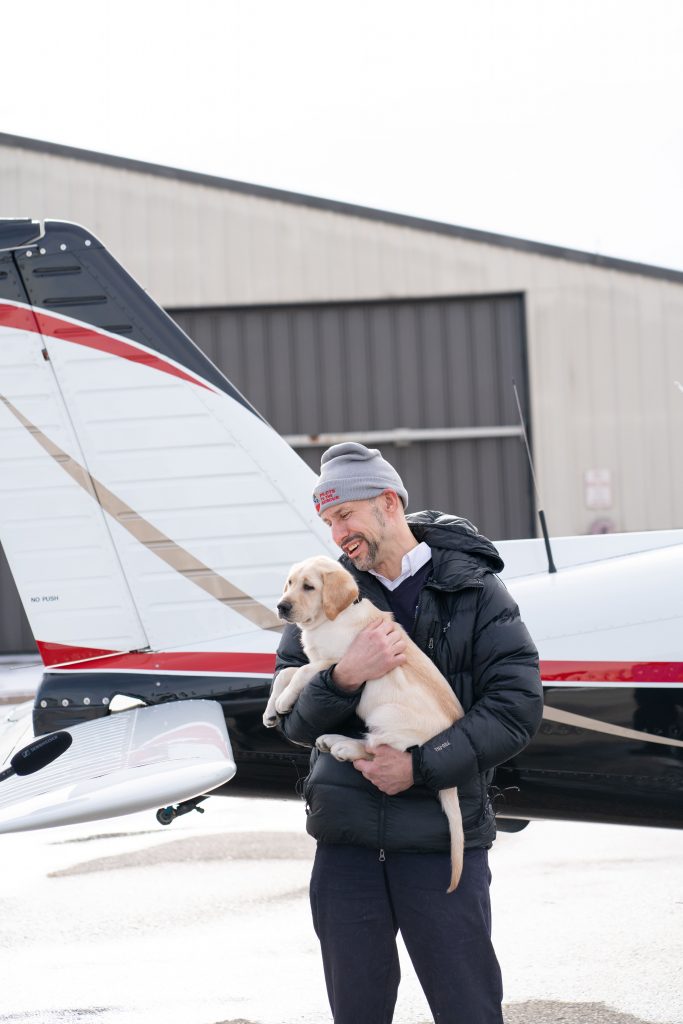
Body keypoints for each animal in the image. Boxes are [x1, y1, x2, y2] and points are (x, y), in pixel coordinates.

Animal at [264, 557, 466, 892]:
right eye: (290, 583)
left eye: (309, 587)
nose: (282, 606)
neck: (329, 620)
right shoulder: (320, 662)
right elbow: (286, 673)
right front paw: (271, 709)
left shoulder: (336, 662)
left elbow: (302, 672)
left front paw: (283, 701)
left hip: (385, 714)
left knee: (376, 749)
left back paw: (342, 745)